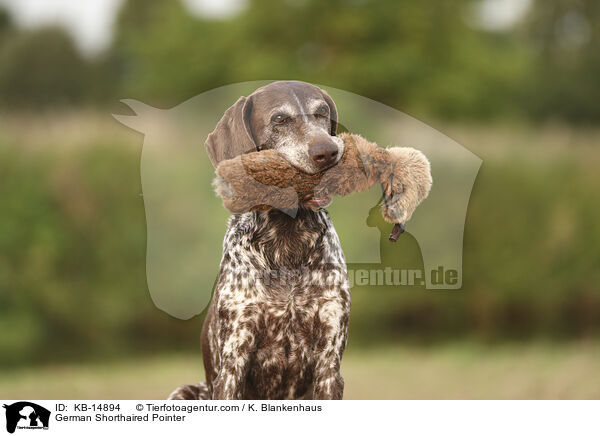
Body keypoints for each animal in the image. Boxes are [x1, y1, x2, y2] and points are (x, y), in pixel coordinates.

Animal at [169, 80, 354, 400]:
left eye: (321, 112)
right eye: (279, 119)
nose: (328, 152)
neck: (287, 239)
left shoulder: (330, 365)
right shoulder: (233, 363)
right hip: (184, 391)